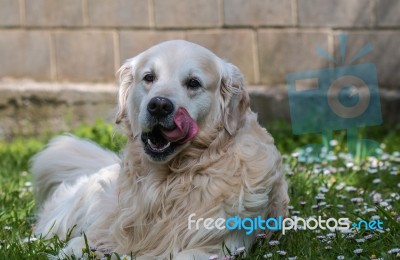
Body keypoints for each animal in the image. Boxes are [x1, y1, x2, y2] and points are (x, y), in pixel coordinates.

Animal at [31, 39, 288, 258]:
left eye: (193, 83)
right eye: (149, 77)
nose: (159, 105)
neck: (168, 181)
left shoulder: (219, 246)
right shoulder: (101, 235)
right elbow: (76, 247)